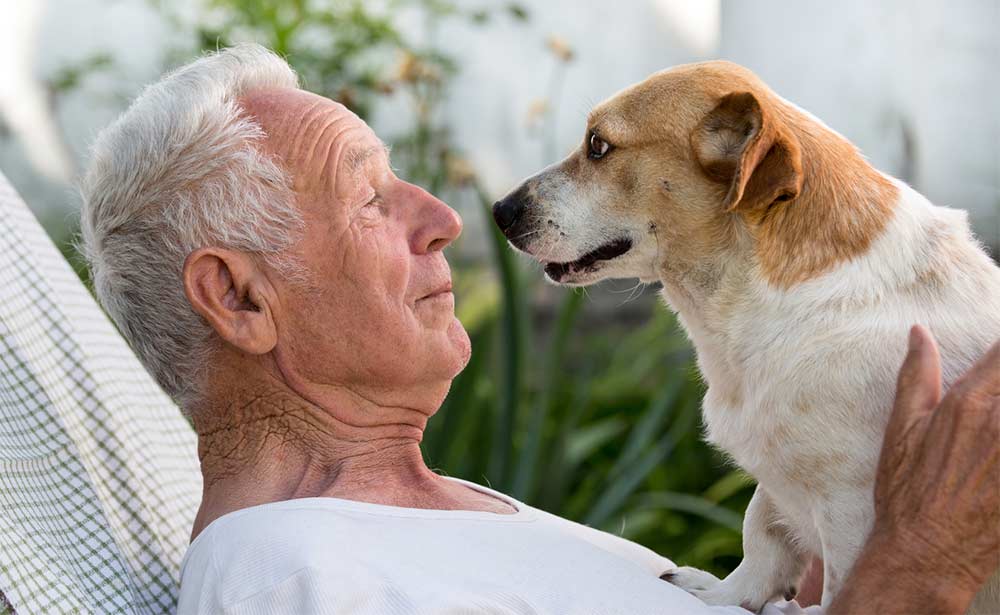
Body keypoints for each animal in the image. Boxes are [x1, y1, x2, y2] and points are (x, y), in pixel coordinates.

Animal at [494, 60, 1000, 612]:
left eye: (598, 145)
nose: (499, 209)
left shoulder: (853, 506)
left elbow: (834, 581)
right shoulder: (779, 487)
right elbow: (762, 533)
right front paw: (724, 593)